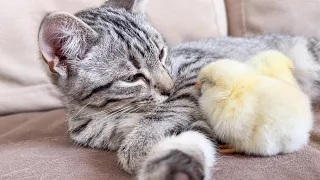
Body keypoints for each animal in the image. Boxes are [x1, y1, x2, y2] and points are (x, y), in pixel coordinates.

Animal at [38, 0, 320, 180]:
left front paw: (139, 145)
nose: (169, 87)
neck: (108, 114)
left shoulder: (199, 71)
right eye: (132, 77)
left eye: (162, 54)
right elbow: (187, 145)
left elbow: (170, 108)